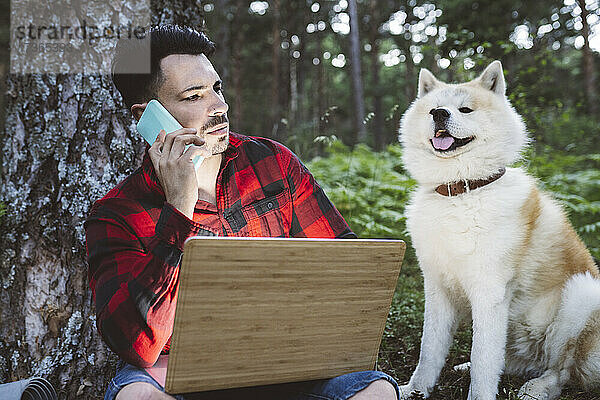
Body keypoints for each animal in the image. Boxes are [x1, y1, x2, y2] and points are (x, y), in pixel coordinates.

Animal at [398, 60, 600, 400]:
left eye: (465, 109)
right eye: (432, 109)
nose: (439, 113)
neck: (461, 192)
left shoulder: (489, 292)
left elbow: (483, 358)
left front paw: (478, 394)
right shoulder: (437, 289)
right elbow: (430, 350)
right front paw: (415, 390)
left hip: (582, 294)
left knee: (563, 369)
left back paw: (537, 388)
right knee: (514, 362)